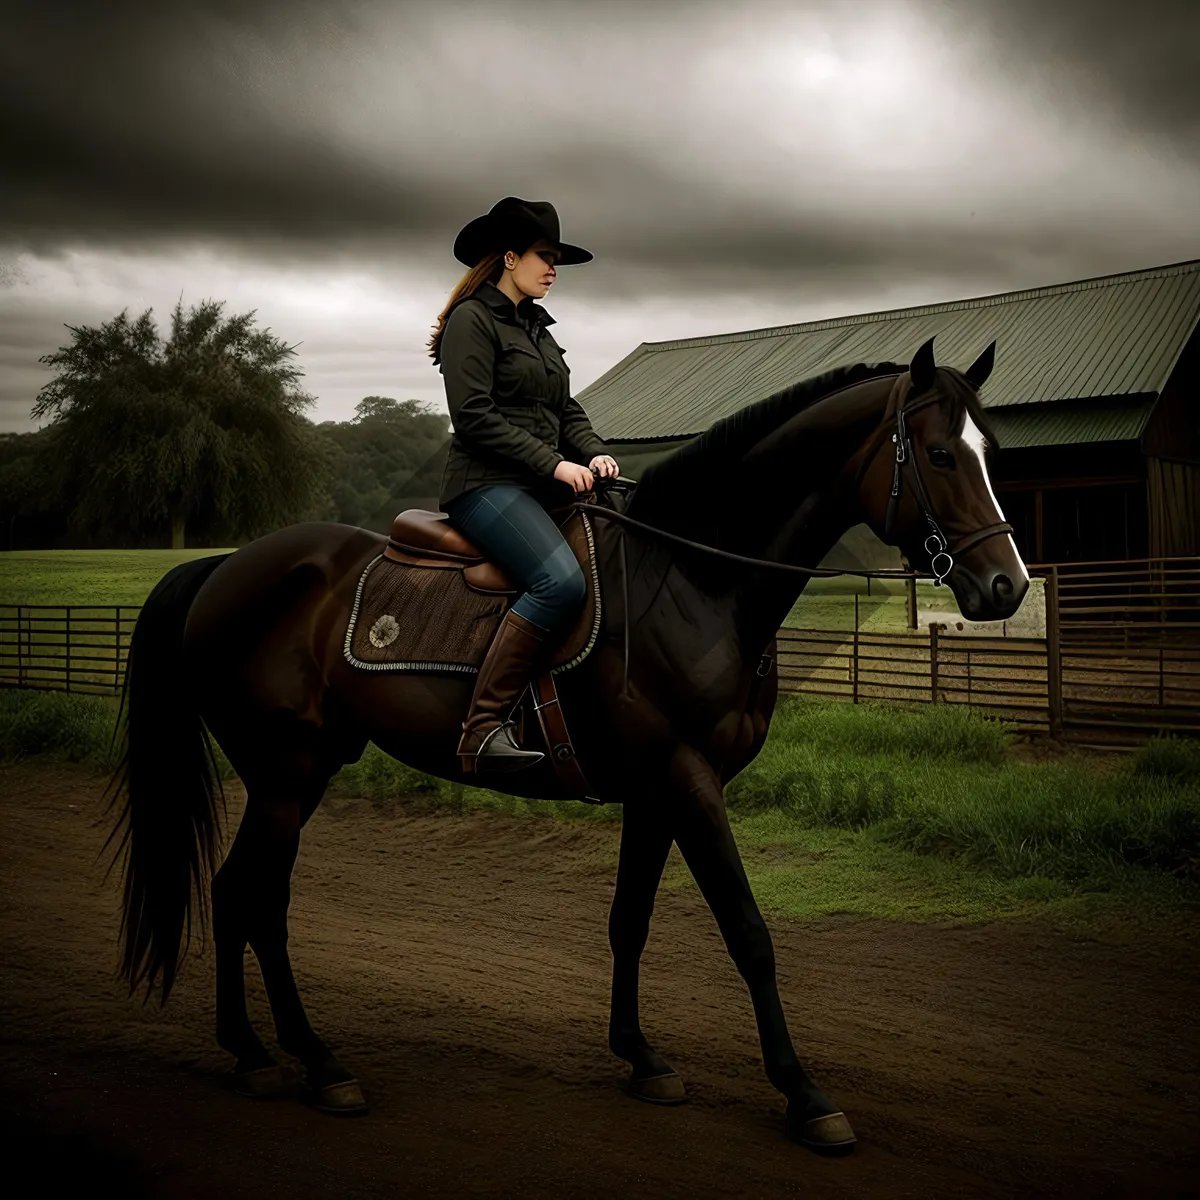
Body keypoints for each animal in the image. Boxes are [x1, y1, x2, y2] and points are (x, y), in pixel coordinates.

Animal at [103, 336, 1027, 1152]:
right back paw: (307, 1062)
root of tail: (225, 564)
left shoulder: (656, 791)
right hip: (285, 775)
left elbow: (630, 920)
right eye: (940, 455)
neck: (691, 583)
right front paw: (805, 1096)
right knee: (251, 900)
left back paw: (265, 1055)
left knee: (243, 897)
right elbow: (748, 932)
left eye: (993, 454)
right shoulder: (690, 782)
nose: (1006, 587)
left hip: (303, 771)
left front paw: (643, 1058)